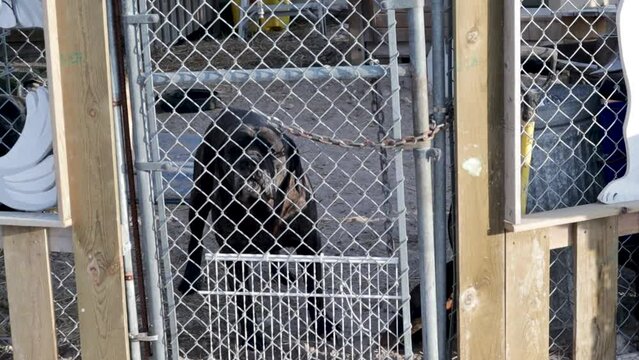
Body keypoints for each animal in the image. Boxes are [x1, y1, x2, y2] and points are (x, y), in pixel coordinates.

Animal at [175, 107, 336, 348]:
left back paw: (281, 273)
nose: (250, 160)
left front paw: (324, 326)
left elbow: (315, 290)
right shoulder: (235, 255)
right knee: (195, 237)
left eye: (271, 151)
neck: (262, 208)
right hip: (199, 196)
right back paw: (190, 278)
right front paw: (251, 337)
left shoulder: (310, 244)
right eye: (234, 150)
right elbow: (245, 300)